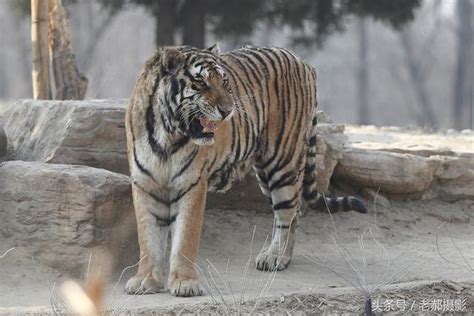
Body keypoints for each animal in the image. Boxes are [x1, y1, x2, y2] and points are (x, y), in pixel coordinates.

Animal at [123, 43, 366, 296]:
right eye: (201, 83)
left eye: (225, 83)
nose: (228, 110)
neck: (166, 134)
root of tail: (302, 60)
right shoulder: (146, 185)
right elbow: (148, 238)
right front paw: (145, 279)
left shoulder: (192, 184)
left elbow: (185, 238)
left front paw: (185, 282)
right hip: (265, 174)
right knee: (295, 211)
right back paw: (283, 257)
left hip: (282, 163)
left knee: (287, 213)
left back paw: (274, 257)